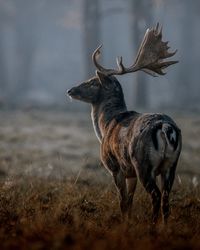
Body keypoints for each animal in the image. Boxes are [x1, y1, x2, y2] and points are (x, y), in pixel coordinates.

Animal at [67, 23, 181, 225]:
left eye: (93, 82)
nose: (70, 90)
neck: (105, 127)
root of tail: (165, 127)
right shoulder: (131, 173)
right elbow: (129, 200)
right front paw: (127, 222)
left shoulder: (115, 167)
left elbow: (122, 201)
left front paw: (123, 225)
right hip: (171, 165)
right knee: (166, 199)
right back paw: (165, 227)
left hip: (143, 163)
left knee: (156, 195)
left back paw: (153, 227)